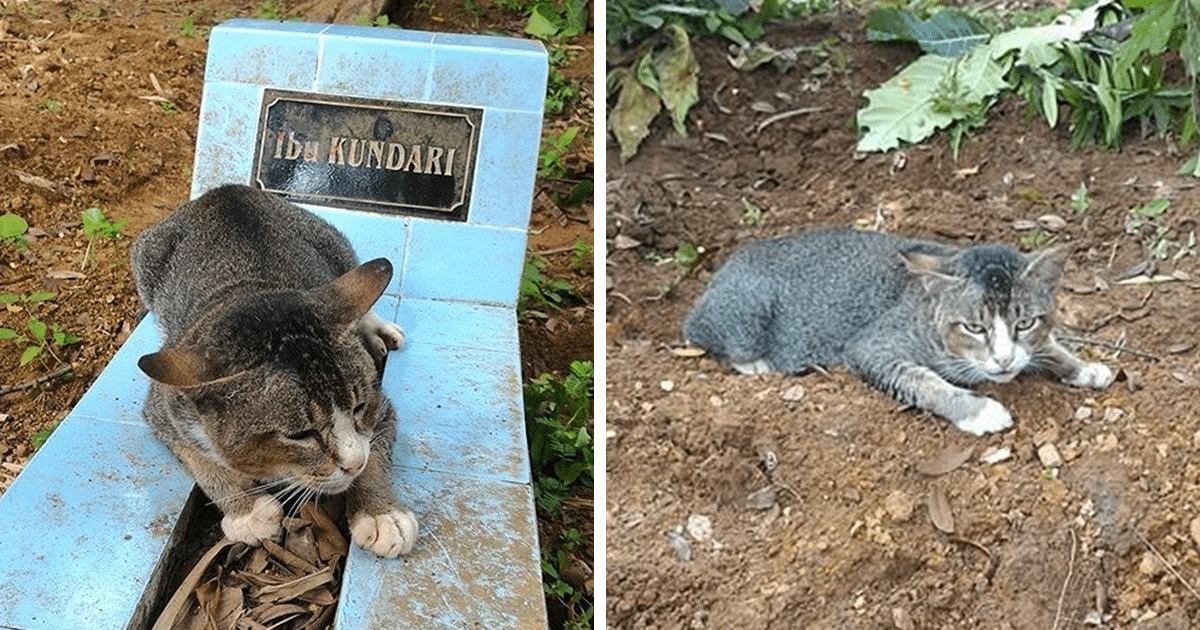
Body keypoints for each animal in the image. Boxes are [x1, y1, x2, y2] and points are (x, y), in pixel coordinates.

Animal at [132, 184, 417, 556]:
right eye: (300, 434)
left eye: (359, 407)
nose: (353, 463)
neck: (250, 293)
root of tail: (223, 191)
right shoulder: (165, 407)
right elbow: (200, 461)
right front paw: (246, 510)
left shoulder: (381, 407)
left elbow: (376, 449)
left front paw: (381, 513)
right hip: (144, 260)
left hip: (333, 242)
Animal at [686, 228, 1113, 434]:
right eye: (974, 327)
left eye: (1024, 323)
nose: (1004, 359)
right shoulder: (870, 347)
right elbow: (926, 382)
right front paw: (978, 411)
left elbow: (1049, 347)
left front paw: (1082, 367)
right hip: (746, 314)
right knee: (703, 334)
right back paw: (756, 364)